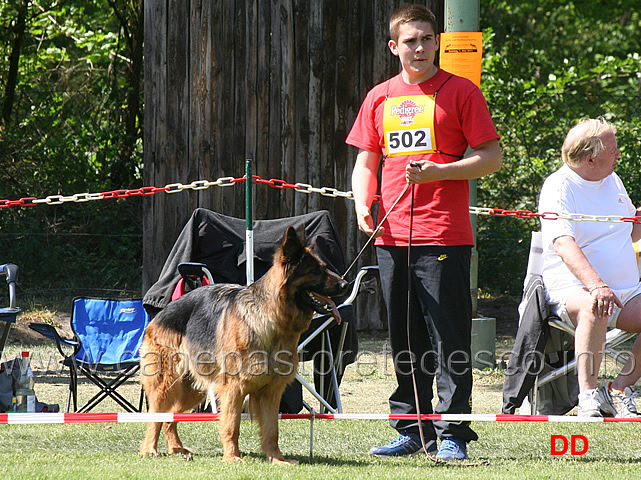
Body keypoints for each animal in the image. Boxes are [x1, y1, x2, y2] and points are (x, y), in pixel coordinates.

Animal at [140, 227, 348, 464]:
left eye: (324, 267)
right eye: (315, 270)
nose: (346, 284)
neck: (272, 318)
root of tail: (160, 314)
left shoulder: (271, 391)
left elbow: (272, 430)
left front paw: (277, 459)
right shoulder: (234, 388)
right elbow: (232, 425)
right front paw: (232, 457)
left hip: (191, 391)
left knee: (170, 415)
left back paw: (176, 448)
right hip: (166, 385)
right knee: (156, 415)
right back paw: (149, 449)